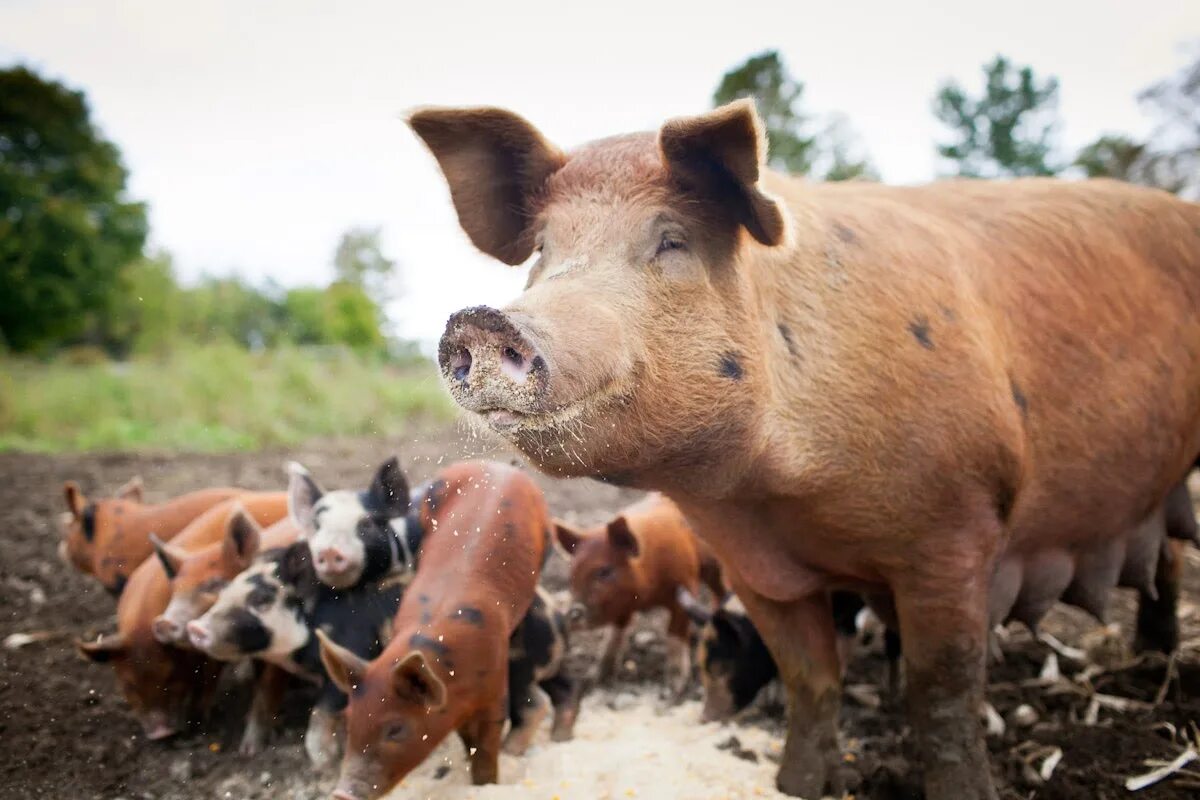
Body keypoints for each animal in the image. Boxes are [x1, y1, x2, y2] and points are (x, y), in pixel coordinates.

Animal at [314, 462, 549, 800]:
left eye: (395, 728)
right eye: (349, 719)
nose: (341, 793)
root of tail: (498, 465)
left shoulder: (494, 688)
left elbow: (487, 744)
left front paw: (486, 784)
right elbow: (466, 738)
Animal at [549, 494, 720, 700]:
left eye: (604, 571)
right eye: (572, 575)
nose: (573, 612)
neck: (648, 596)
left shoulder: (687, 586)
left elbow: (674, 634)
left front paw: (674, 689)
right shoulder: (621, 605)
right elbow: (614, 637)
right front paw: (594, 679)